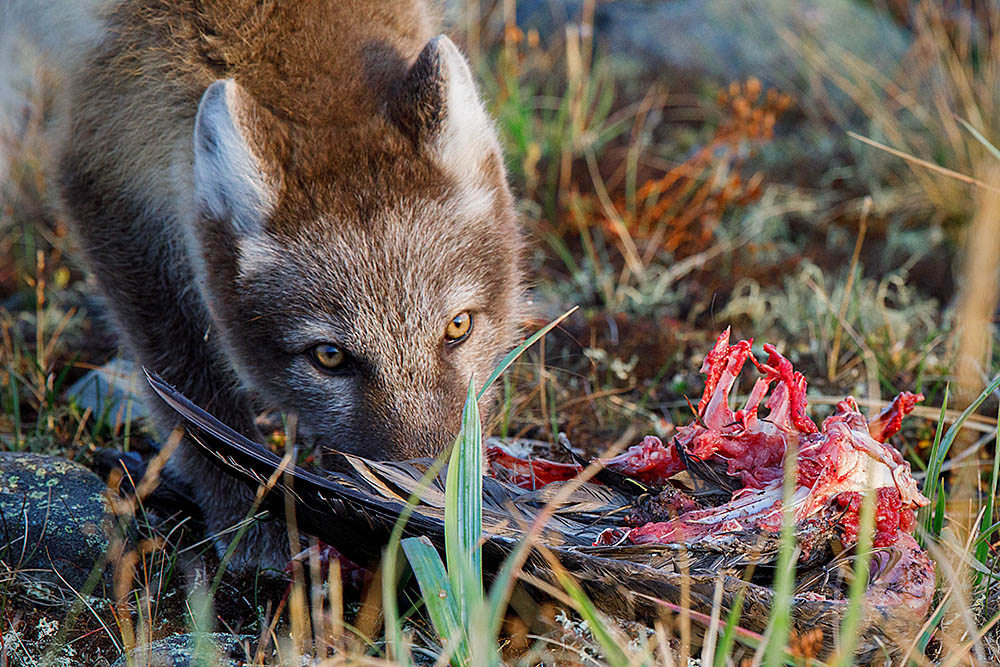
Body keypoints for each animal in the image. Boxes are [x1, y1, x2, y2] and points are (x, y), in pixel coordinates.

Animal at [0, 1, 528, 568]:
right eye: (328, 357)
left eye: (459, 327)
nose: (432, 508)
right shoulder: (106, 169)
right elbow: (186, 376)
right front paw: (247, 523)